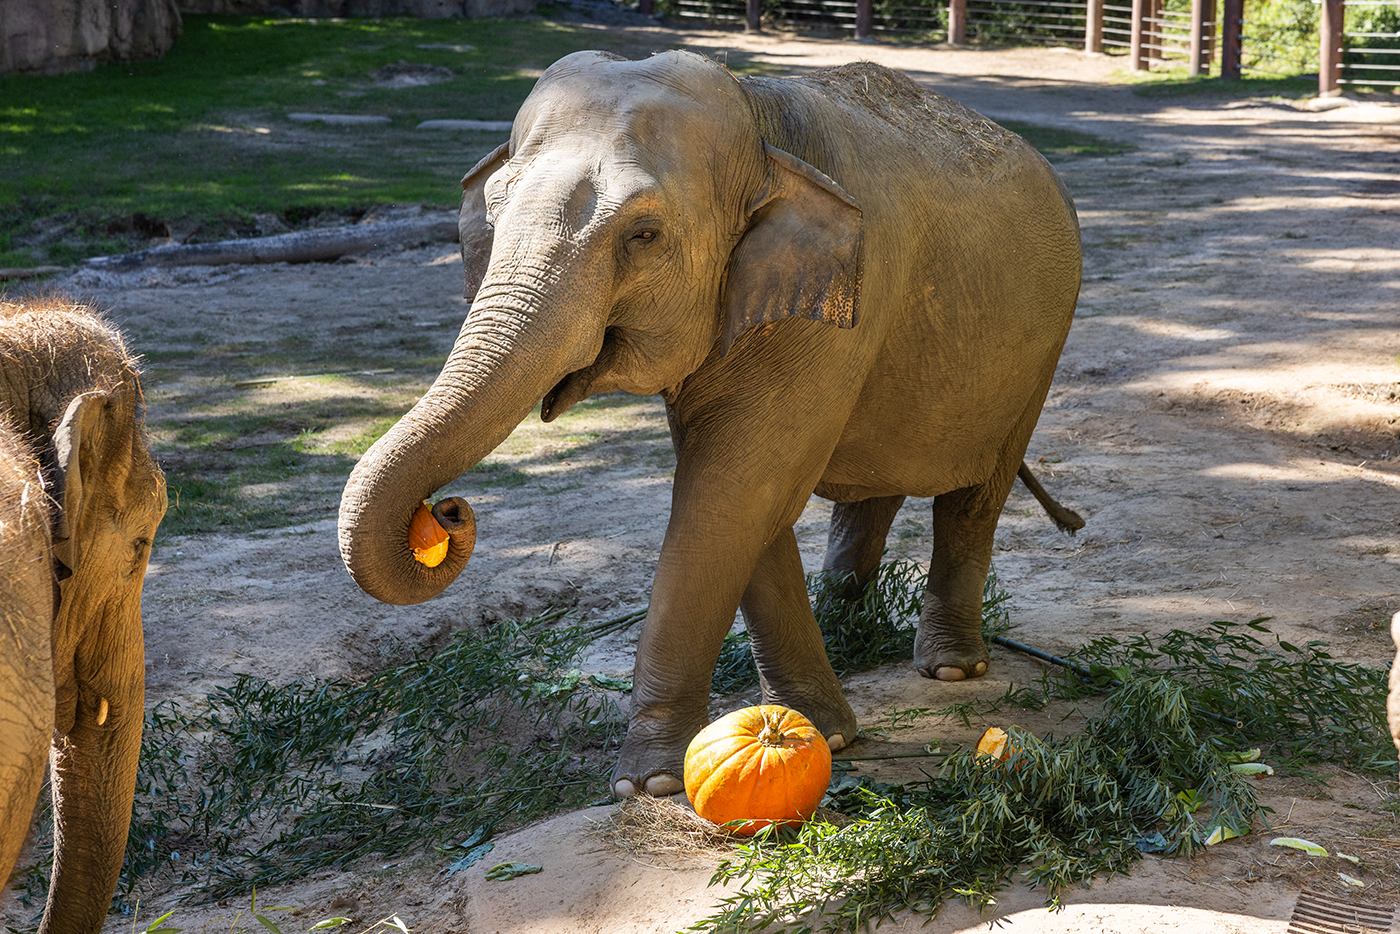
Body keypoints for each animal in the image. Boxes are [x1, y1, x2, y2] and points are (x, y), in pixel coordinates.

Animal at [338, 49, 1080, 795]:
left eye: (643, 235)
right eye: (491, 215)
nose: (447, 511)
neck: (758, 121)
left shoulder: (827, 308)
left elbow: (730, 492)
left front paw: (649, 784)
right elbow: (745, 504)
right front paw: (822, 730)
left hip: (1043, 344)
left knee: (975, 496)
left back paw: (952, 666)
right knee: (874, 486)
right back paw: (847, 627)